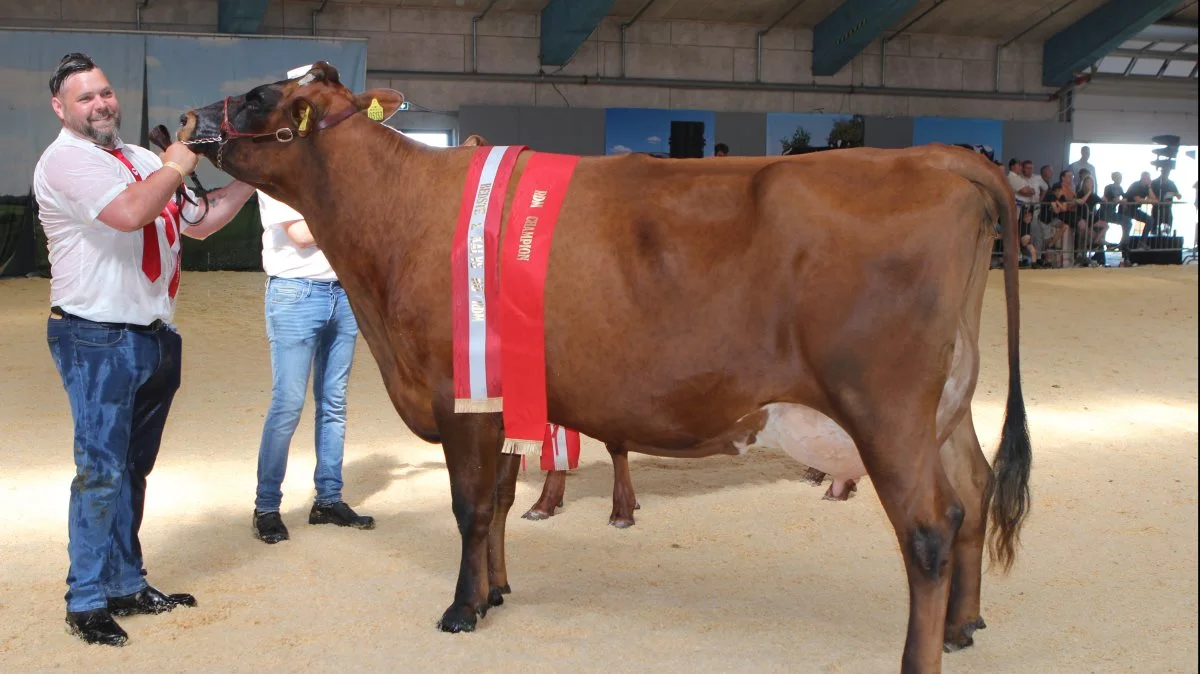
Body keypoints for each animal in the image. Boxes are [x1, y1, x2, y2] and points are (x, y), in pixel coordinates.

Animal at [177, 60, 1032, 666]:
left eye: (257, 98)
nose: (185, 120)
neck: (394, 219)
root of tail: (942, 158)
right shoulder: (502, 398)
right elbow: (499, 499)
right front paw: (496, 592)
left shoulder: (460, 393)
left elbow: (469, 505)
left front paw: (460, 609)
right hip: (944, 405)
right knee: (973, 492)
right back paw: (965, 626)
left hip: (885, 409)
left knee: (929, 528)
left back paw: (923, 654)